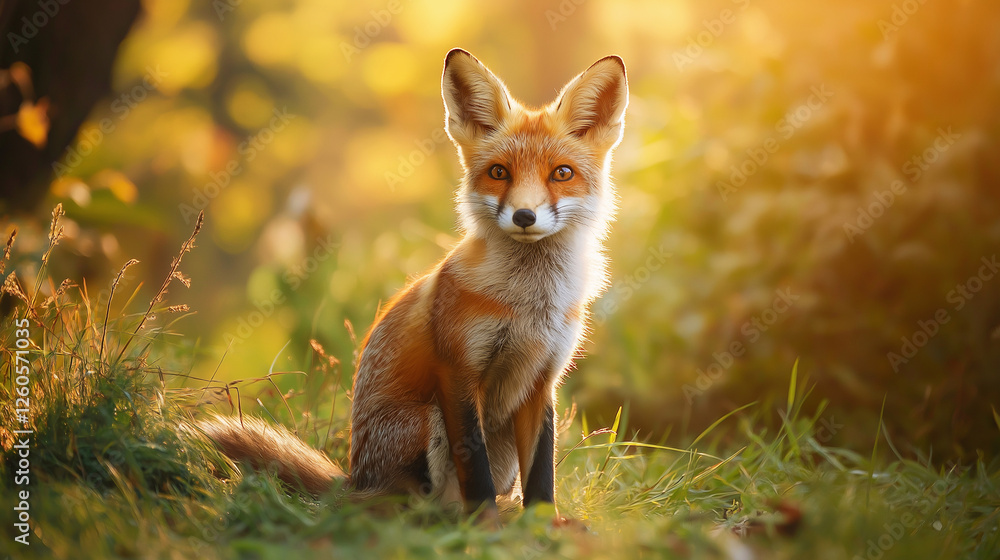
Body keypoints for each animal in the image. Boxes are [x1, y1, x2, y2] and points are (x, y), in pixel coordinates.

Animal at [199, 48, 628, 518]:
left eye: (561, 173)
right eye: (499, 172)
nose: (524, 216)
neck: (530, 304)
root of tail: (353, 480)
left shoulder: (542, 379)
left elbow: (542, 474)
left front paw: (543, 524)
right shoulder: (457, 372)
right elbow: (474, 468)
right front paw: (486, 524)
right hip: (426, 421)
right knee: (410, 505)